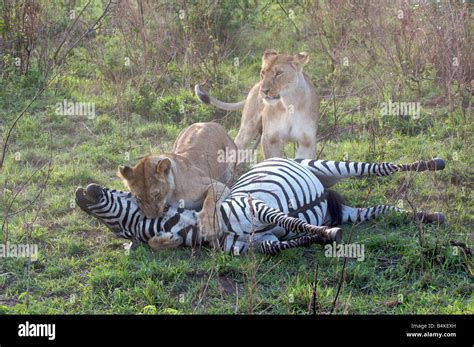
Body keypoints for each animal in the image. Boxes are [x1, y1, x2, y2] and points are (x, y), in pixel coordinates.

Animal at [76, 158, 446, 256]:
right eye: (118, 230)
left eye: (123, 196)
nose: (80, 191)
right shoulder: (258, 244)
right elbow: (281, 244)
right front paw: (321, 236)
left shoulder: (258, 207)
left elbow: (294, 223)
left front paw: (326, 232)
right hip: (351, 209)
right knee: (387, 210)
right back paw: (431, 215)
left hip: (326, 164)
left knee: (382, 168)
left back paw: (435, 163)